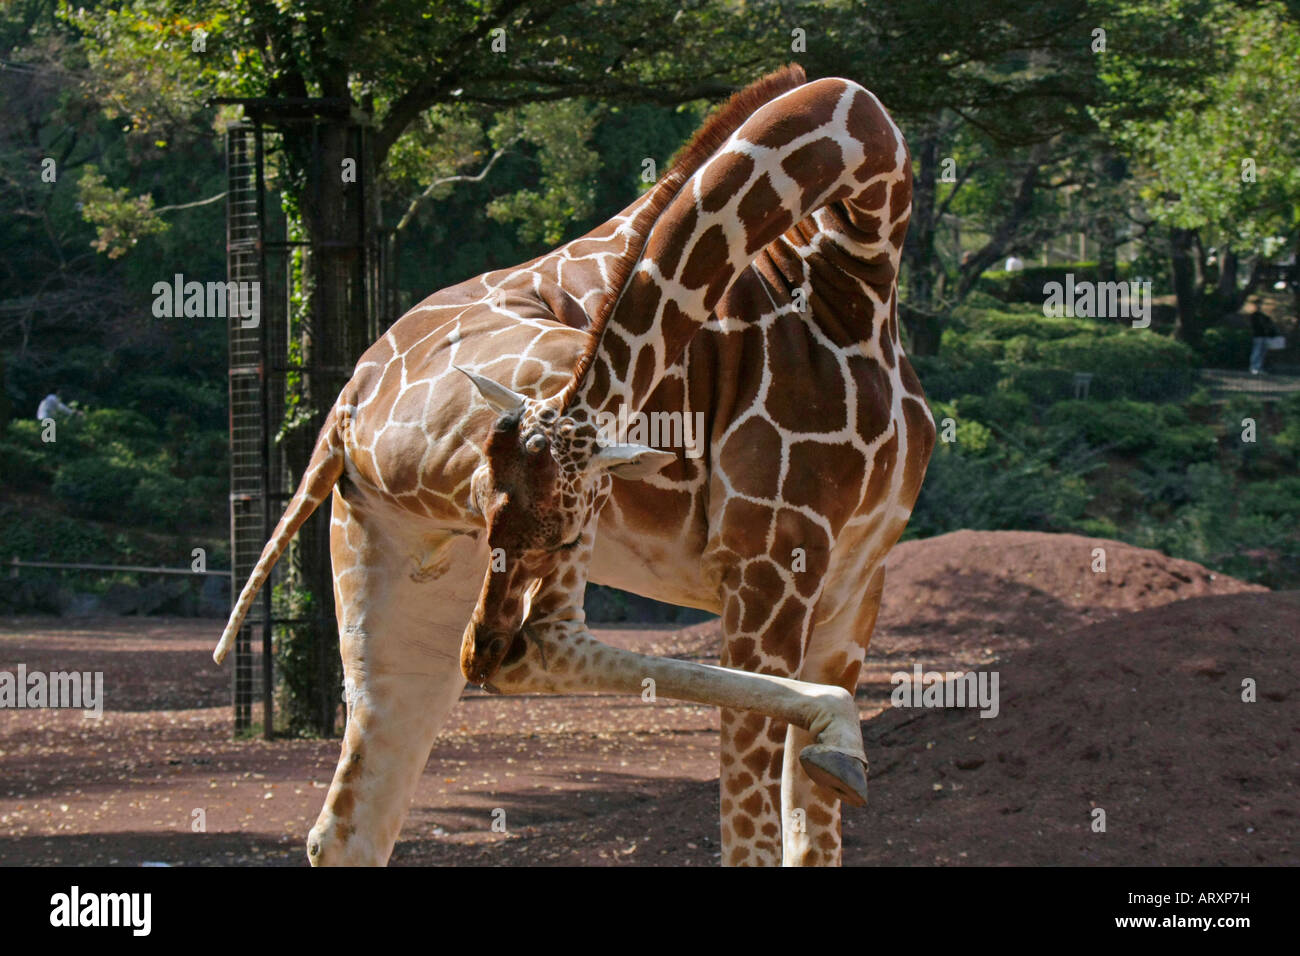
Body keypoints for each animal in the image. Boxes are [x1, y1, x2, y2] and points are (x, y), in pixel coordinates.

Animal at [218, 63, 935, 863]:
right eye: (486, 507)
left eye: (534, 529)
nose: (483, 650)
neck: (858, 256)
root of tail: (342, 411)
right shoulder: (769, 557)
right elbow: (747, 839)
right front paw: (835, 737)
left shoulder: (853, 587)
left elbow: (812, 836)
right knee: (549, 643)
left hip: (388, 557)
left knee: (350, 821)